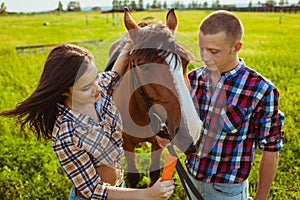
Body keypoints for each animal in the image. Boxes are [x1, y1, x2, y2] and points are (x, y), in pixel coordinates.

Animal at [105, 7, 202, 188]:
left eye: (185, 62)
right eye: (144, 66)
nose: (191, 133)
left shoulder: (158, 143)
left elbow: (155, 174)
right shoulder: (127, 145)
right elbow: (133, 177)